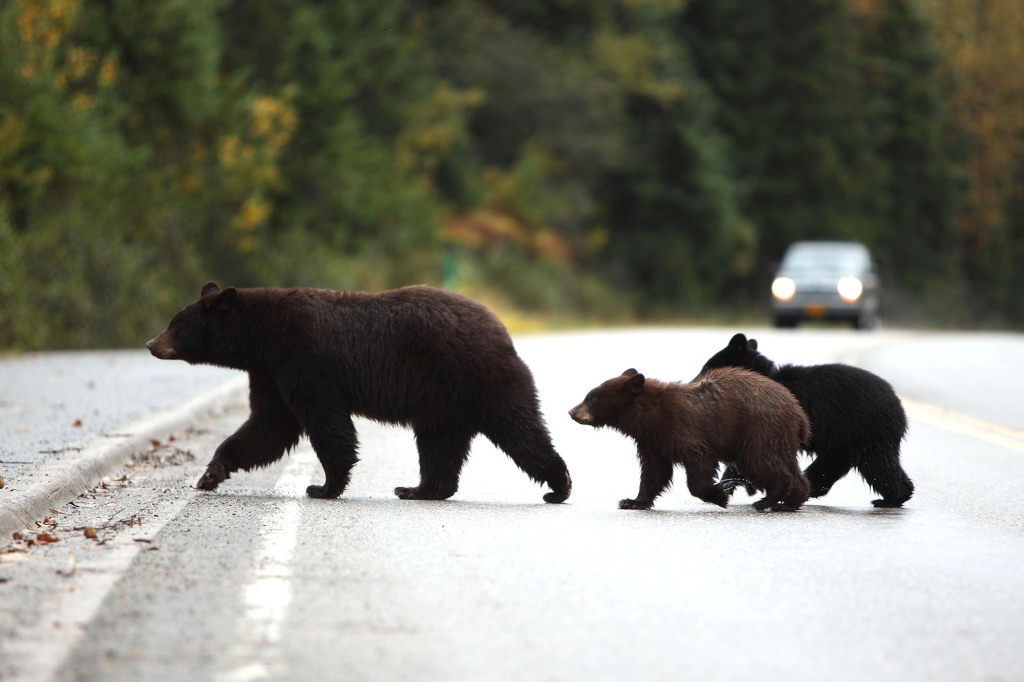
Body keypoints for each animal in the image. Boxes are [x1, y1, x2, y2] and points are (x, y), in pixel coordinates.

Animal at [148, 282, 573, 503]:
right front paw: (211, 473)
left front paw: (322, 486)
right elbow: (269, 425)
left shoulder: (304, 359)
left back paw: (559, 485)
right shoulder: (268, 373)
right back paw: (418, 489)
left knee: (519, 428)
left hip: (478, 379)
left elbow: (325, 423)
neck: (260, 338)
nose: (151, 343)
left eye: (175, 324)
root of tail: (501, 328)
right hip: (441, 403)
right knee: (440, 445)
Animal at [704, 331, 913, 507]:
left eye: (706, 368)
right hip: (845, 442)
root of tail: (898, 405)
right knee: (830, 466)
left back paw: (891, 499)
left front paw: (726, 485)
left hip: (868, 432)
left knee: (877, 466)